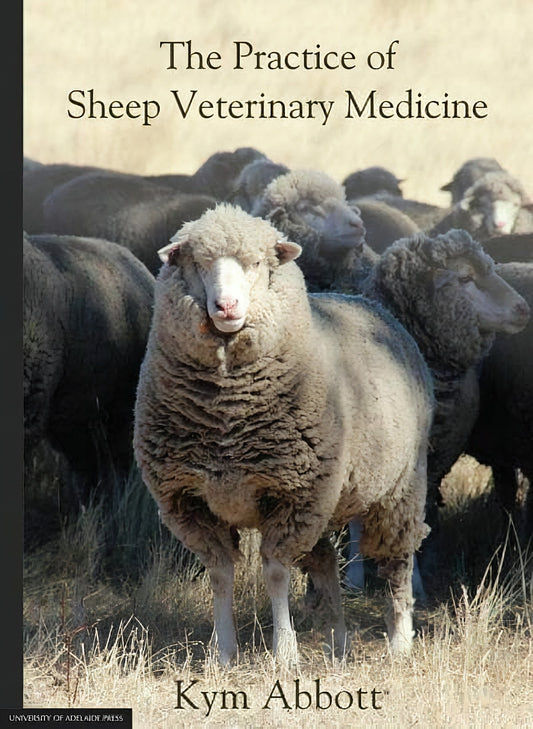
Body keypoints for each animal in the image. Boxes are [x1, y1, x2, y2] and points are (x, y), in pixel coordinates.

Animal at [134, 203, 434, 663]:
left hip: (399, 487)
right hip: (329, 497)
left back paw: (400, 642)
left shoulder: (293, 495)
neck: (227, 416)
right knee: (326, 563)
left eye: (257, 263)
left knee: (398, 562)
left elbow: (276, 574)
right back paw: (338, 644)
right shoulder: (189, 500)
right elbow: (220, 574)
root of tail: (365, 301)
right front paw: (224, 653)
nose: (226, 305)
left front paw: (285, 653)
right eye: (199, 264)